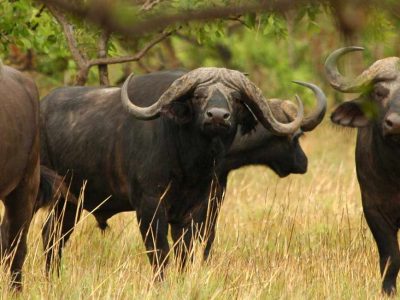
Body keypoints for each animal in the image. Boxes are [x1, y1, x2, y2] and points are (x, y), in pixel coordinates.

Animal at [39, 67, 310, 276]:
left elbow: (185, 254)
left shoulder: (194, 211)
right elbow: (160, 253)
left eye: (234, 98)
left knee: (52, 236)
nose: (218, 116)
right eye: (199, 95)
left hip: (69, 203)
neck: (188, 165)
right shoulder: (149, 206)